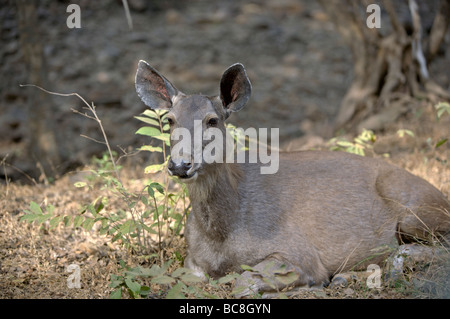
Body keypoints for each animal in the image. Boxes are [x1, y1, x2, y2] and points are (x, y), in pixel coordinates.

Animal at [134, 60, 450, 298]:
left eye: (213, 120)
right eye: (170, 119)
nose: (180, 164)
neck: (221, 236)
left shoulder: (297, 252)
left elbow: (243, 283)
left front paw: (307, 287)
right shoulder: (191, 262)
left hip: (415, 210)